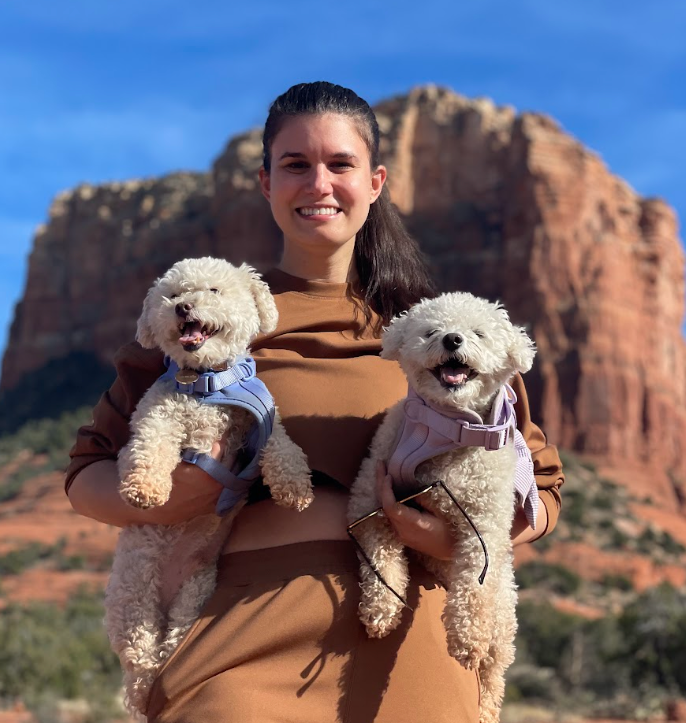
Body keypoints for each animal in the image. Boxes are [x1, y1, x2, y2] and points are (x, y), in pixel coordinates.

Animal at [107, 258, 314, 716]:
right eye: (171, 295)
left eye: (214, 291)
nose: (183, 307)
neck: (208, 385)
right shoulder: (158, 415)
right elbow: (150, 446)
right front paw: (145, 489)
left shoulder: (260, 420)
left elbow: (283, 446)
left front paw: (294, 487)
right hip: (133, 599)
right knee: (141, 661)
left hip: (194, 593)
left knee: (170, 644)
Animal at [352, 292, 540, 723]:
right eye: (431, 331)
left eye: (478, 333)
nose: (453, 339)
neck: (446, 433)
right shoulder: (369, 499)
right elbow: (381, 557)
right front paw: (382, 608)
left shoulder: (484, 527)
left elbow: (473, 588)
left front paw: (466, 640)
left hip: (503, 620)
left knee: (493, 674)